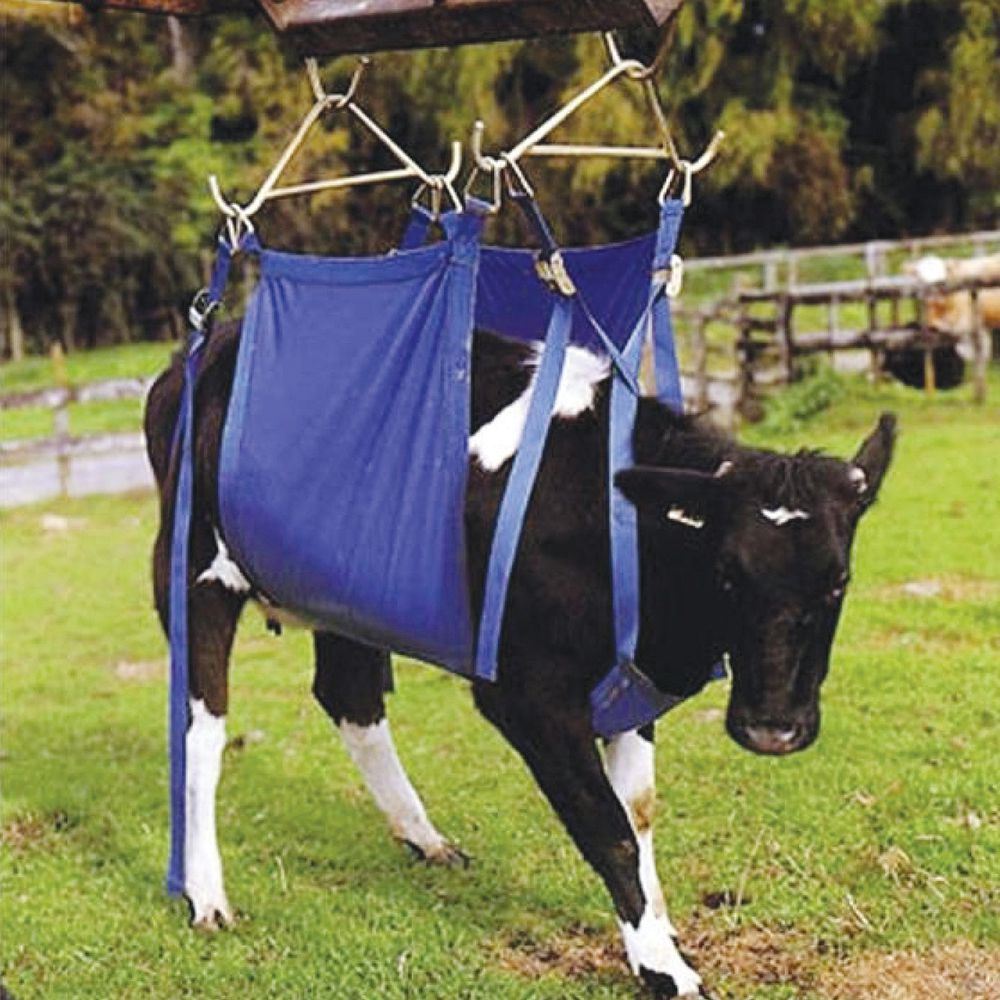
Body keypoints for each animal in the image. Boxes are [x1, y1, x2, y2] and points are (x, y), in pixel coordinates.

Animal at [145, 321, 895, 998]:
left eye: (838, 582)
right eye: (729, 575)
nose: (774, 729)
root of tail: (203, 347)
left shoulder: (631, 682)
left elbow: (639, 810)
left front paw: (659, 929)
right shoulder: (528, 695)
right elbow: (609, 829)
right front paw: (663, 967)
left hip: (345, 596)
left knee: (349, 697)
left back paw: (424, 837)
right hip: (193, 571)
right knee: (203, 727)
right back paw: (206, 892)